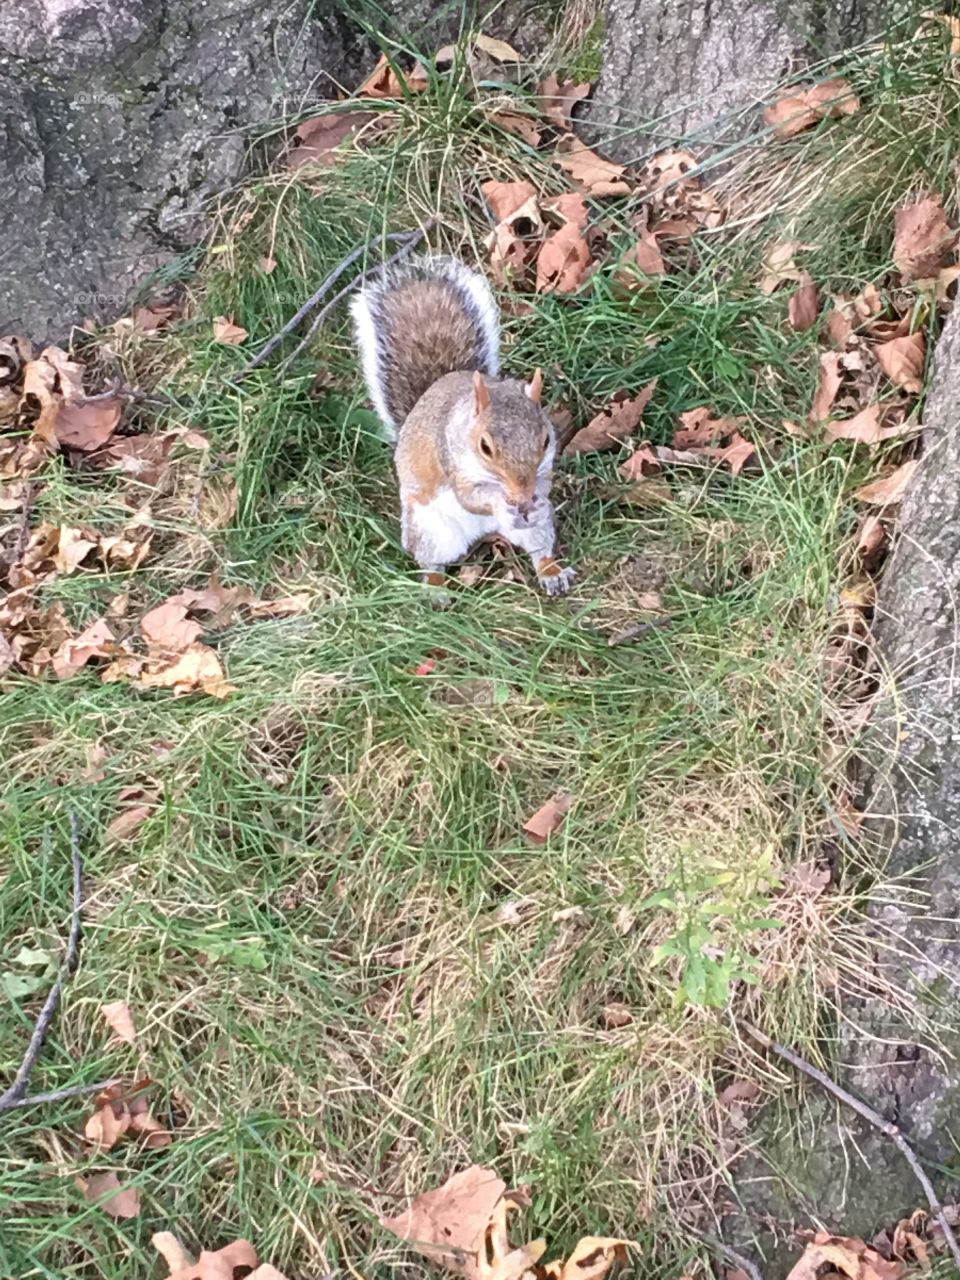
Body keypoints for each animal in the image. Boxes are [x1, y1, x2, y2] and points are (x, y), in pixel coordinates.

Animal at [351, 255, 575, 596]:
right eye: (485, 446)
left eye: (546, 440)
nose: (522, 494)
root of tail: (483, 533)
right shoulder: (452, 462)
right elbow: (471, 498)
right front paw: (500, 502)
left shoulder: (544, 467)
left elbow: (545, 485)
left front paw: (535, 501)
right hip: (429, 530)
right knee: (431, 562)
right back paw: (436, 588)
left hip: (535, 530)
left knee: (539, 548)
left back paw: (551, 571)